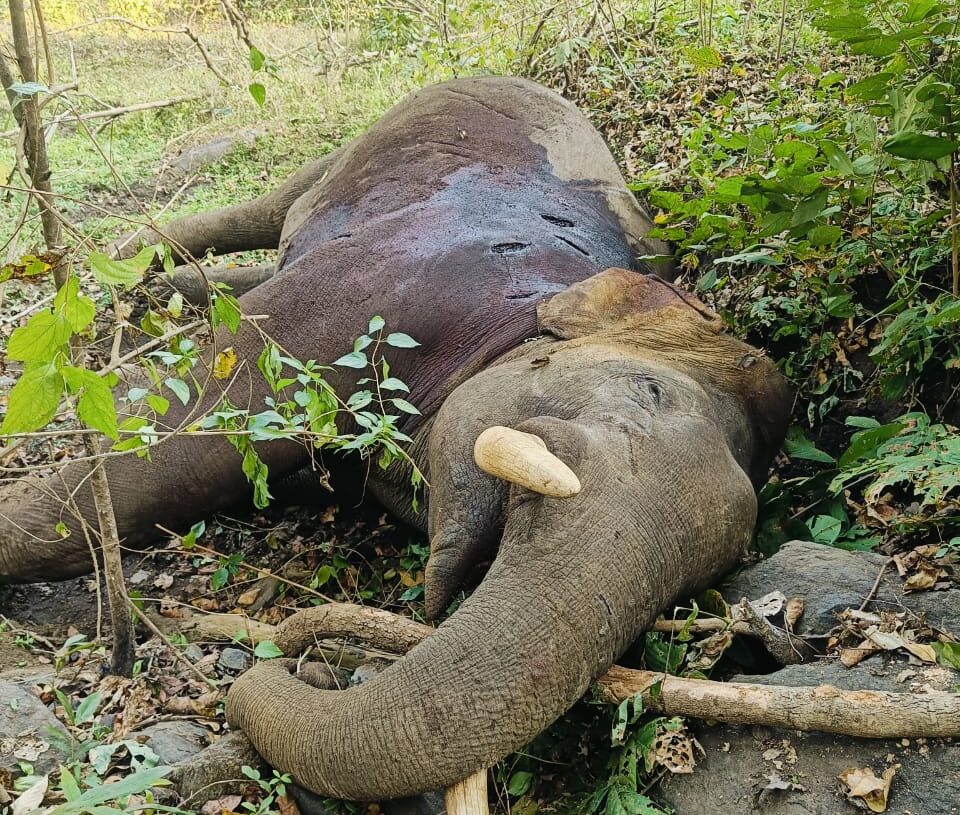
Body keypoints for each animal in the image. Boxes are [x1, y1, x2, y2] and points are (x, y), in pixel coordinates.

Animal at [0, 77, 792, 801]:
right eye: (646, 390)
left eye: (706, 575)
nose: (294, 660)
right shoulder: (384, 287)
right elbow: (183, 443)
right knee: (268, 206)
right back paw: (112, 267)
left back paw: (165, 290)